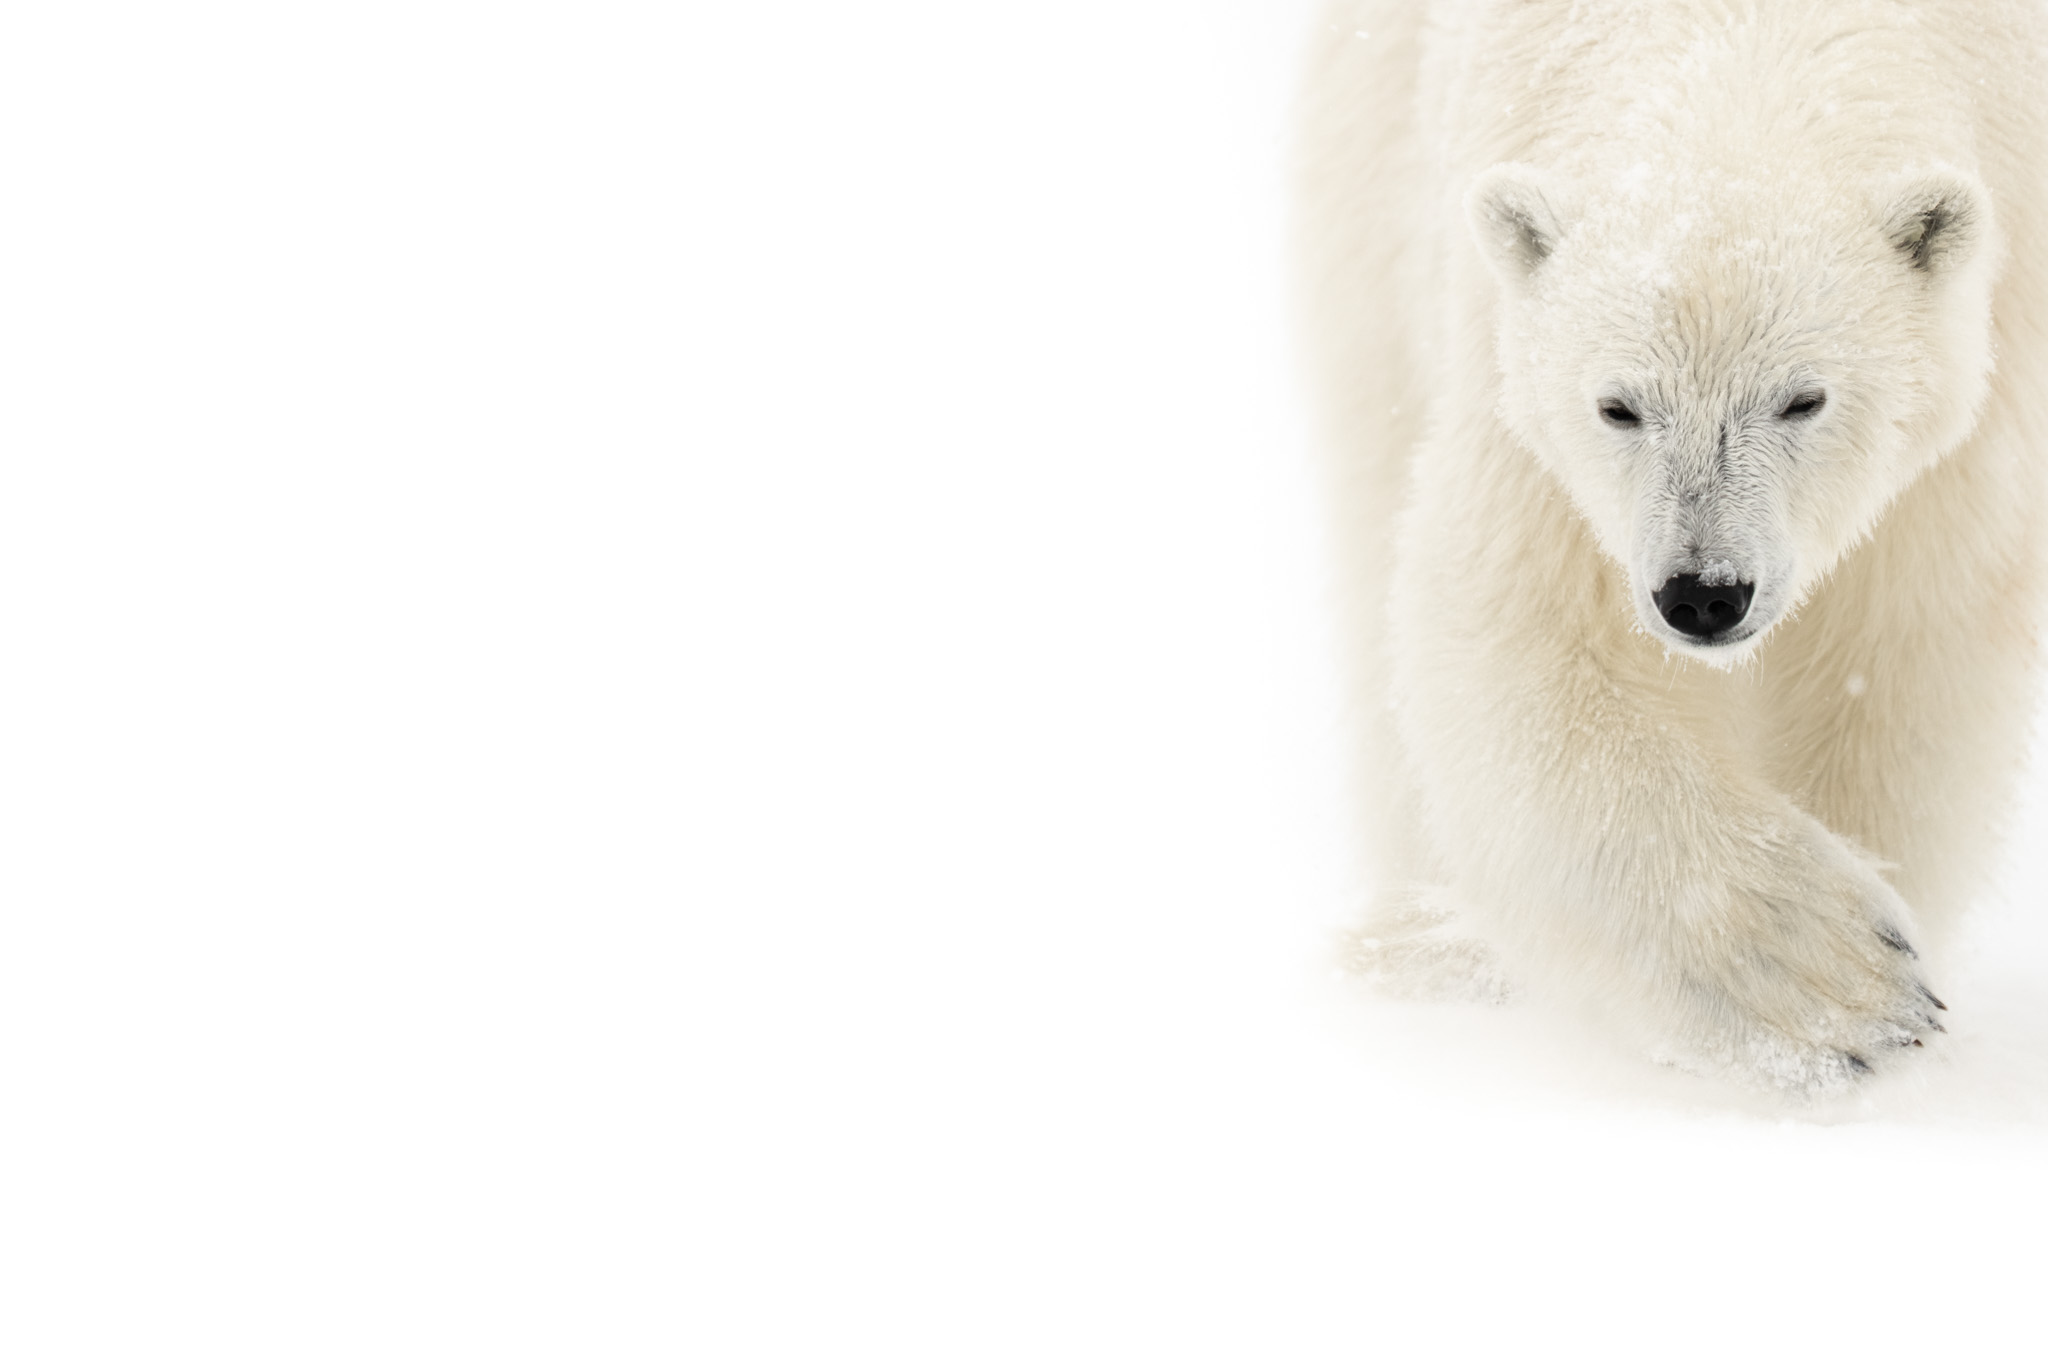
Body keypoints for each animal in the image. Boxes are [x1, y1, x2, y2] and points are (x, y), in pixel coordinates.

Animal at [1295, 0, 2048, 1093]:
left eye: (1803, 398)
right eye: (1619, 406)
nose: (1703, 593)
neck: (1743, 40)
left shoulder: (1984, 378)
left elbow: (1903, 647)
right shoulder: (1528, 415)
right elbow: (1518, 633)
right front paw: (1823, 981)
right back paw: (1431, 937)